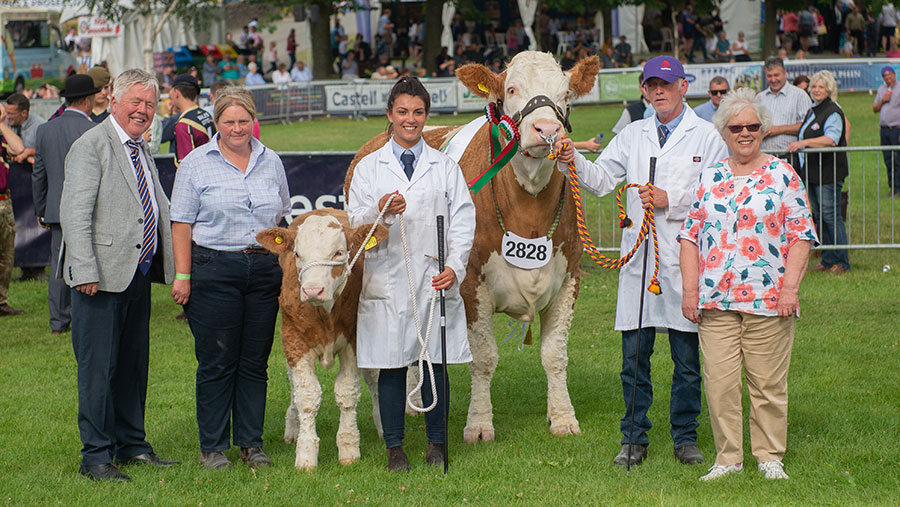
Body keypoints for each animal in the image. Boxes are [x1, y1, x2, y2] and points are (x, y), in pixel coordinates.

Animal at [258, 208, 388, 470]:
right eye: (297, 253)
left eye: (338, 252)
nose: (312, 290)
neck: (325, 313)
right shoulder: (294, 341)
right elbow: (306, 395)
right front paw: (306, 454)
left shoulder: (354, 342)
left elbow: (347, 392)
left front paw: (349, 449)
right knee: (293, 383)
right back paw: (293, 425)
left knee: (373, 379)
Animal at [344, 49, 596, 442]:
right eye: (511, 89)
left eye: (565, 93)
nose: (547, 130)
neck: (529, 209)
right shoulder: (469, 283)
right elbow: (484, 357)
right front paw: (478, 424)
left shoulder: (570, 277)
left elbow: (554, 355)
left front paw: (563, 417)